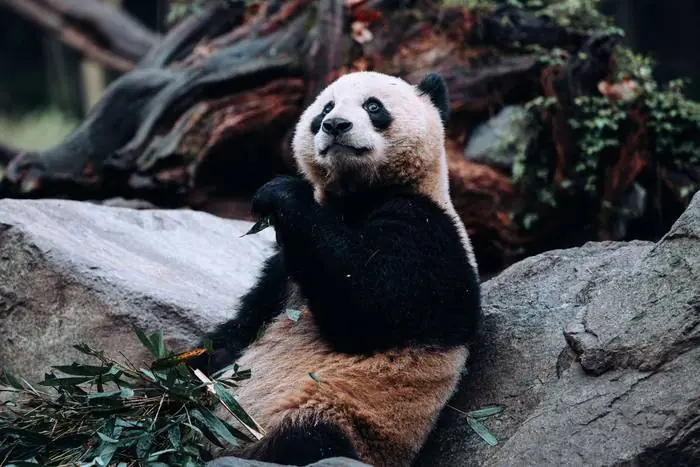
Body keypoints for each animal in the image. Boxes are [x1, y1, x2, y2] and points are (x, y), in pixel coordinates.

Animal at [198, 71, 481, 467]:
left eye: (373, 107)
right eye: (325, 108)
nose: (335, 125)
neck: (358, 196)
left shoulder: (427, 233)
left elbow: (370, 306)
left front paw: (280, 192)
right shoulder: (283, 268)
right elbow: (244, 326)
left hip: (341, 416)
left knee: (308, 443)